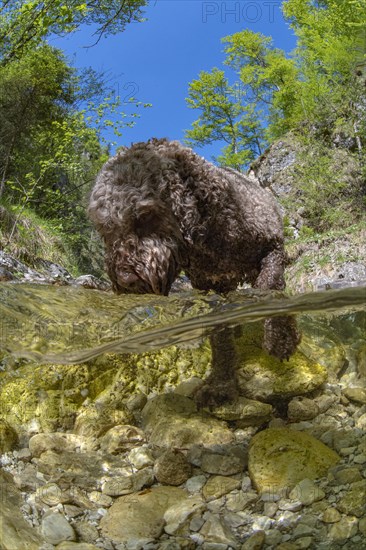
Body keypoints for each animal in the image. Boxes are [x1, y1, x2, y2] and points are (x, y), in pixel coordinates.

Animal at [88, 138, 300, 406]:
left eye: (145, 215)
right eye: (106, 228)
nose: (126, 281)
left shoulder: (272, 250)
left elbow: (270, 288)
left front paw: (281, 339)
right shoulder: (208, 287)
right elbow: (220, 337)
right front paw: (221, 384)